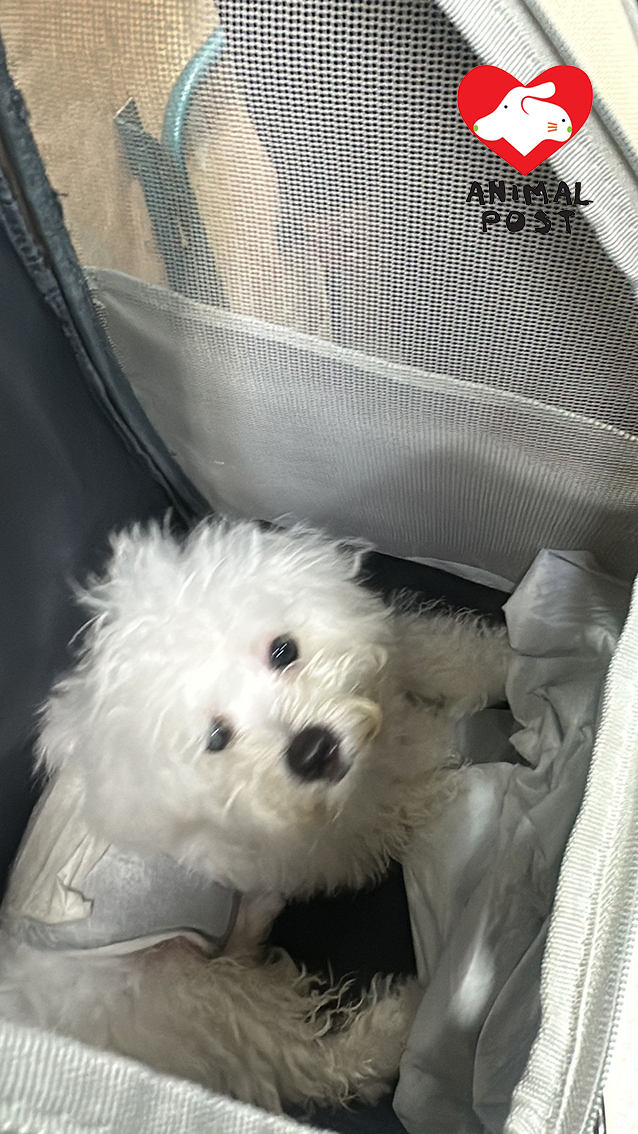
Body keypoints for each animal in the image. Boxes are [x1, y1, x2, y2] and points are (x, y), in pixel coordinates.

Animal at [0, 520, 509, 1112]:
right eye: (217, 738)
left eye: (283, 650)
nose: (313, 750)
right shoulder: (325, 838)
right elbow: (401, 769)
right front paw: (444, 737)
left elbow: (426, 650)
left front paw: (510, 662)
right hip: (190, 1002)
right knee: (309, 1063)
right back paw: (396, 1025)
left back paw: (256, 917)